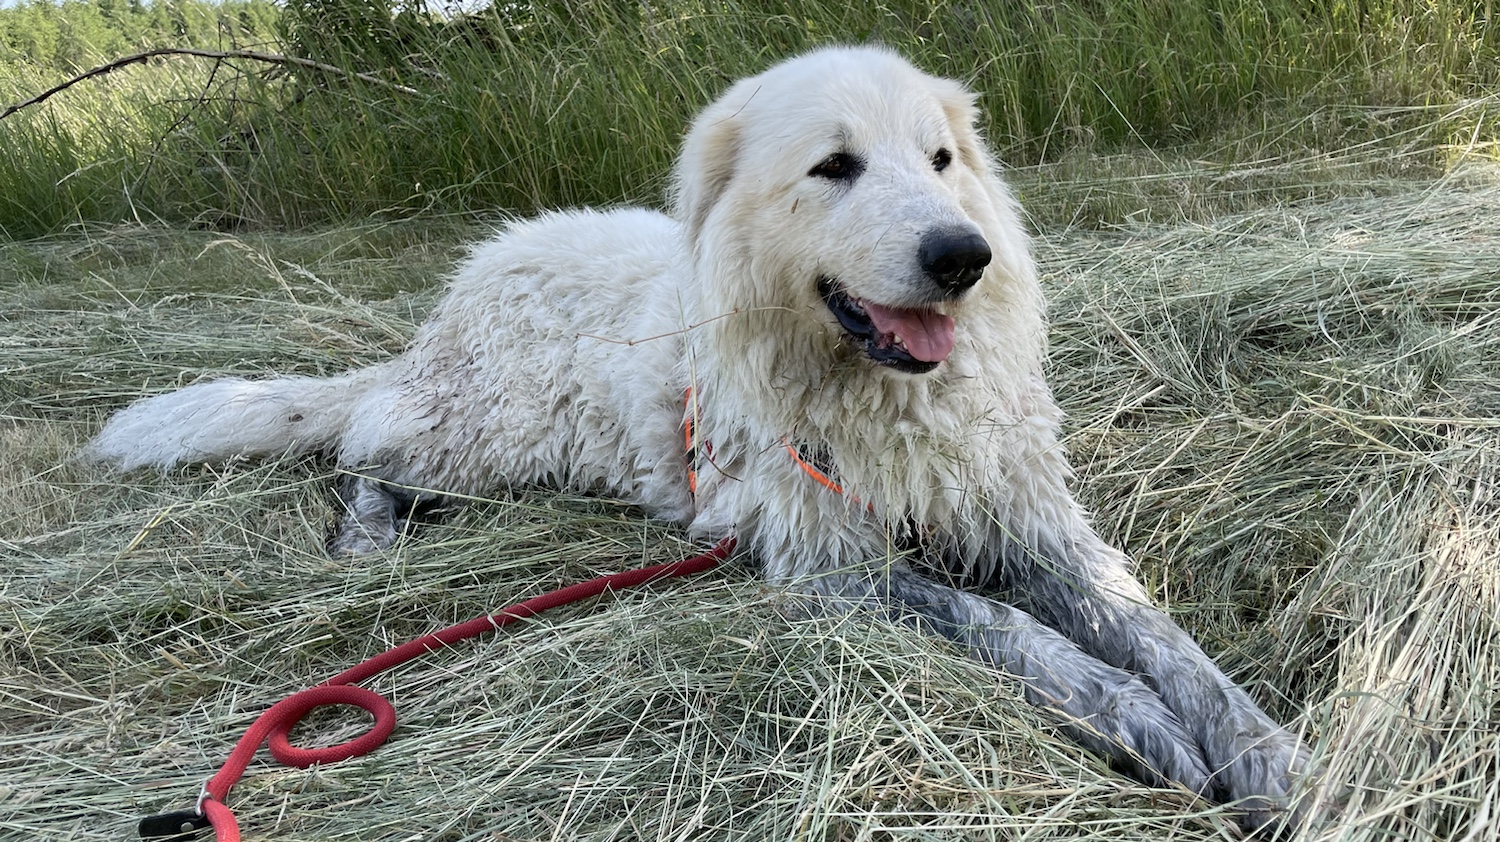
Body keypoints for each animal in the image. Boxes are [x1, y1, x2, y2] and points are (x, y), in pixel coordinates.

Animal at [88, 45, 1308, 830]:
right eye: (835, 166)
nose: (965, 256)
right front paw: (1145, 728)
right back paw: (366, 533)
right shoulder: (830, 565)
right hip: (486, 437)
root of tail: (470, 278)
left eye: (942, 161)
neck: (881, 396)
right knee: (367, 445)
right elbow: (1021, 634)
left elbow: (1160, 638)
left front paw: (1268, 753)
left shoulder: (1031, 522)